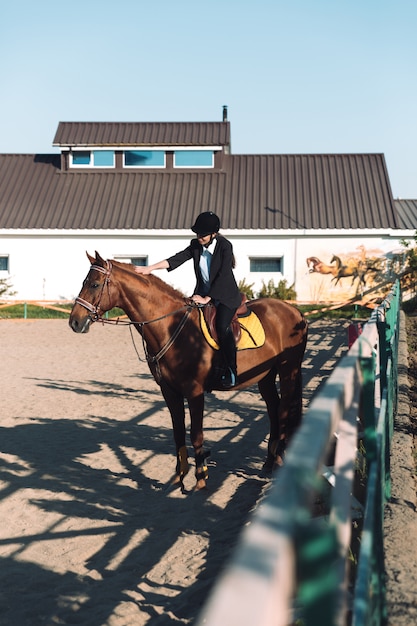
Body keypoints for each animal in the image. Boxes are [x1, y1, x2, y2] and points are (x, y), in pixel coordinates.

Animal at [68, 251, 308, 490]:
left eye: (95, 284)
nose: (75, 322)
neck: (171, 327)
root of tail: (295, 311)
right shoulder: (169, 391)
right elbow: (178, 433)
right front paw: (179, 475)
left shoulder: (194, 392)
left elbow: (196, 435)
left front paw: (201, 475)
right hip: (265, 376)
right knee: (273, 408)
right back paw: (269, 462)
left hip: (288, 370)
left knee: (283, 409)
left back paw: (278, 461)